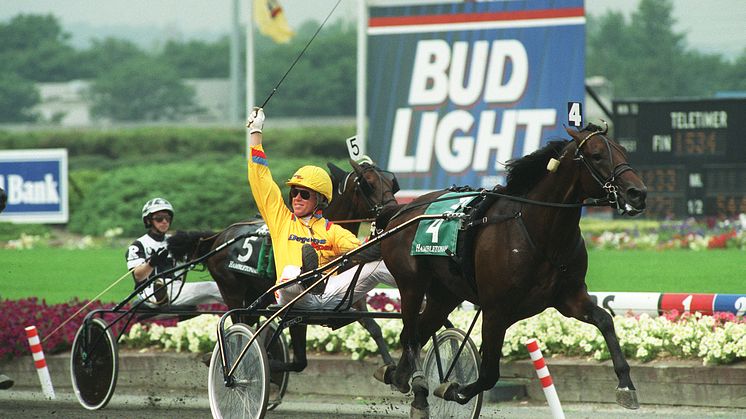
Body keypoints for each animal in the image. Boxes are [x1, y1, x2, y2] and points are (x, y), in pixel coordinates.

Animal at [169, 159, 402, 372]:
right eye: (368, 183)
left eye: (392, 183)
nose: (392, 210)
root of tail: (218, 237)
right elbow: (298, 361)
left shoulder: (348, 293)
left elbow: (373, 326)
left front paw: (390, 365)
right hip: (231, 289)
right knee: (239, 320)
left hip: (254, 294)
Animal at [378, 122, 644, 416]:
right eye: (597, 155)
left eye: (623, 152)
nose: (637, 193)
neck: (539, 231)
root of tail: (399, 212)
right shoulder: (496, 310)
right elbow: (488, 374)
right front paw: (453, 389)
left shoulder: (570, 297)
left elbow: (605, 320)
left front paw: (626, 385)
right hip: (411, 284)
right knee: (411, 336)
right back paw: (415, 383)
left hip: (444, 294)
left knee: (417, 333)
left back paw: (405, 382)